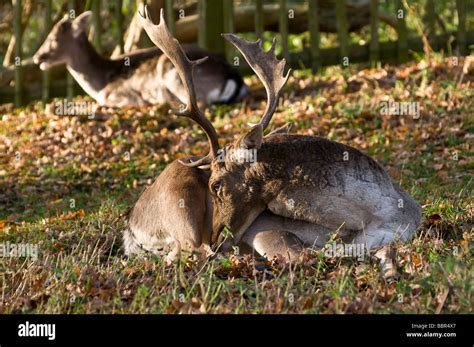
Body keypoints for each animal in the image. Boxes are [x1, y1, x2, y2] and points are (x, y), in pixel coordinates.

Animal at [32, 11, 248, 107]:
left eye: (54, 39)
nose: (36, 58)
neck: (102, 81)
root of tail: (235, 78)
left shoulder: (115, 94)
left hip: (170, 71)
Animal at [137, 6, 422, 272]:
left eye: (215, 185)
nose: (216, 238)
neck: (378, 215)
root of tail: (132, 221)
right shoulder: (265, 231)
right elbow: (311, 254)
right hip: (180, 206)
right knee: (188, 252)